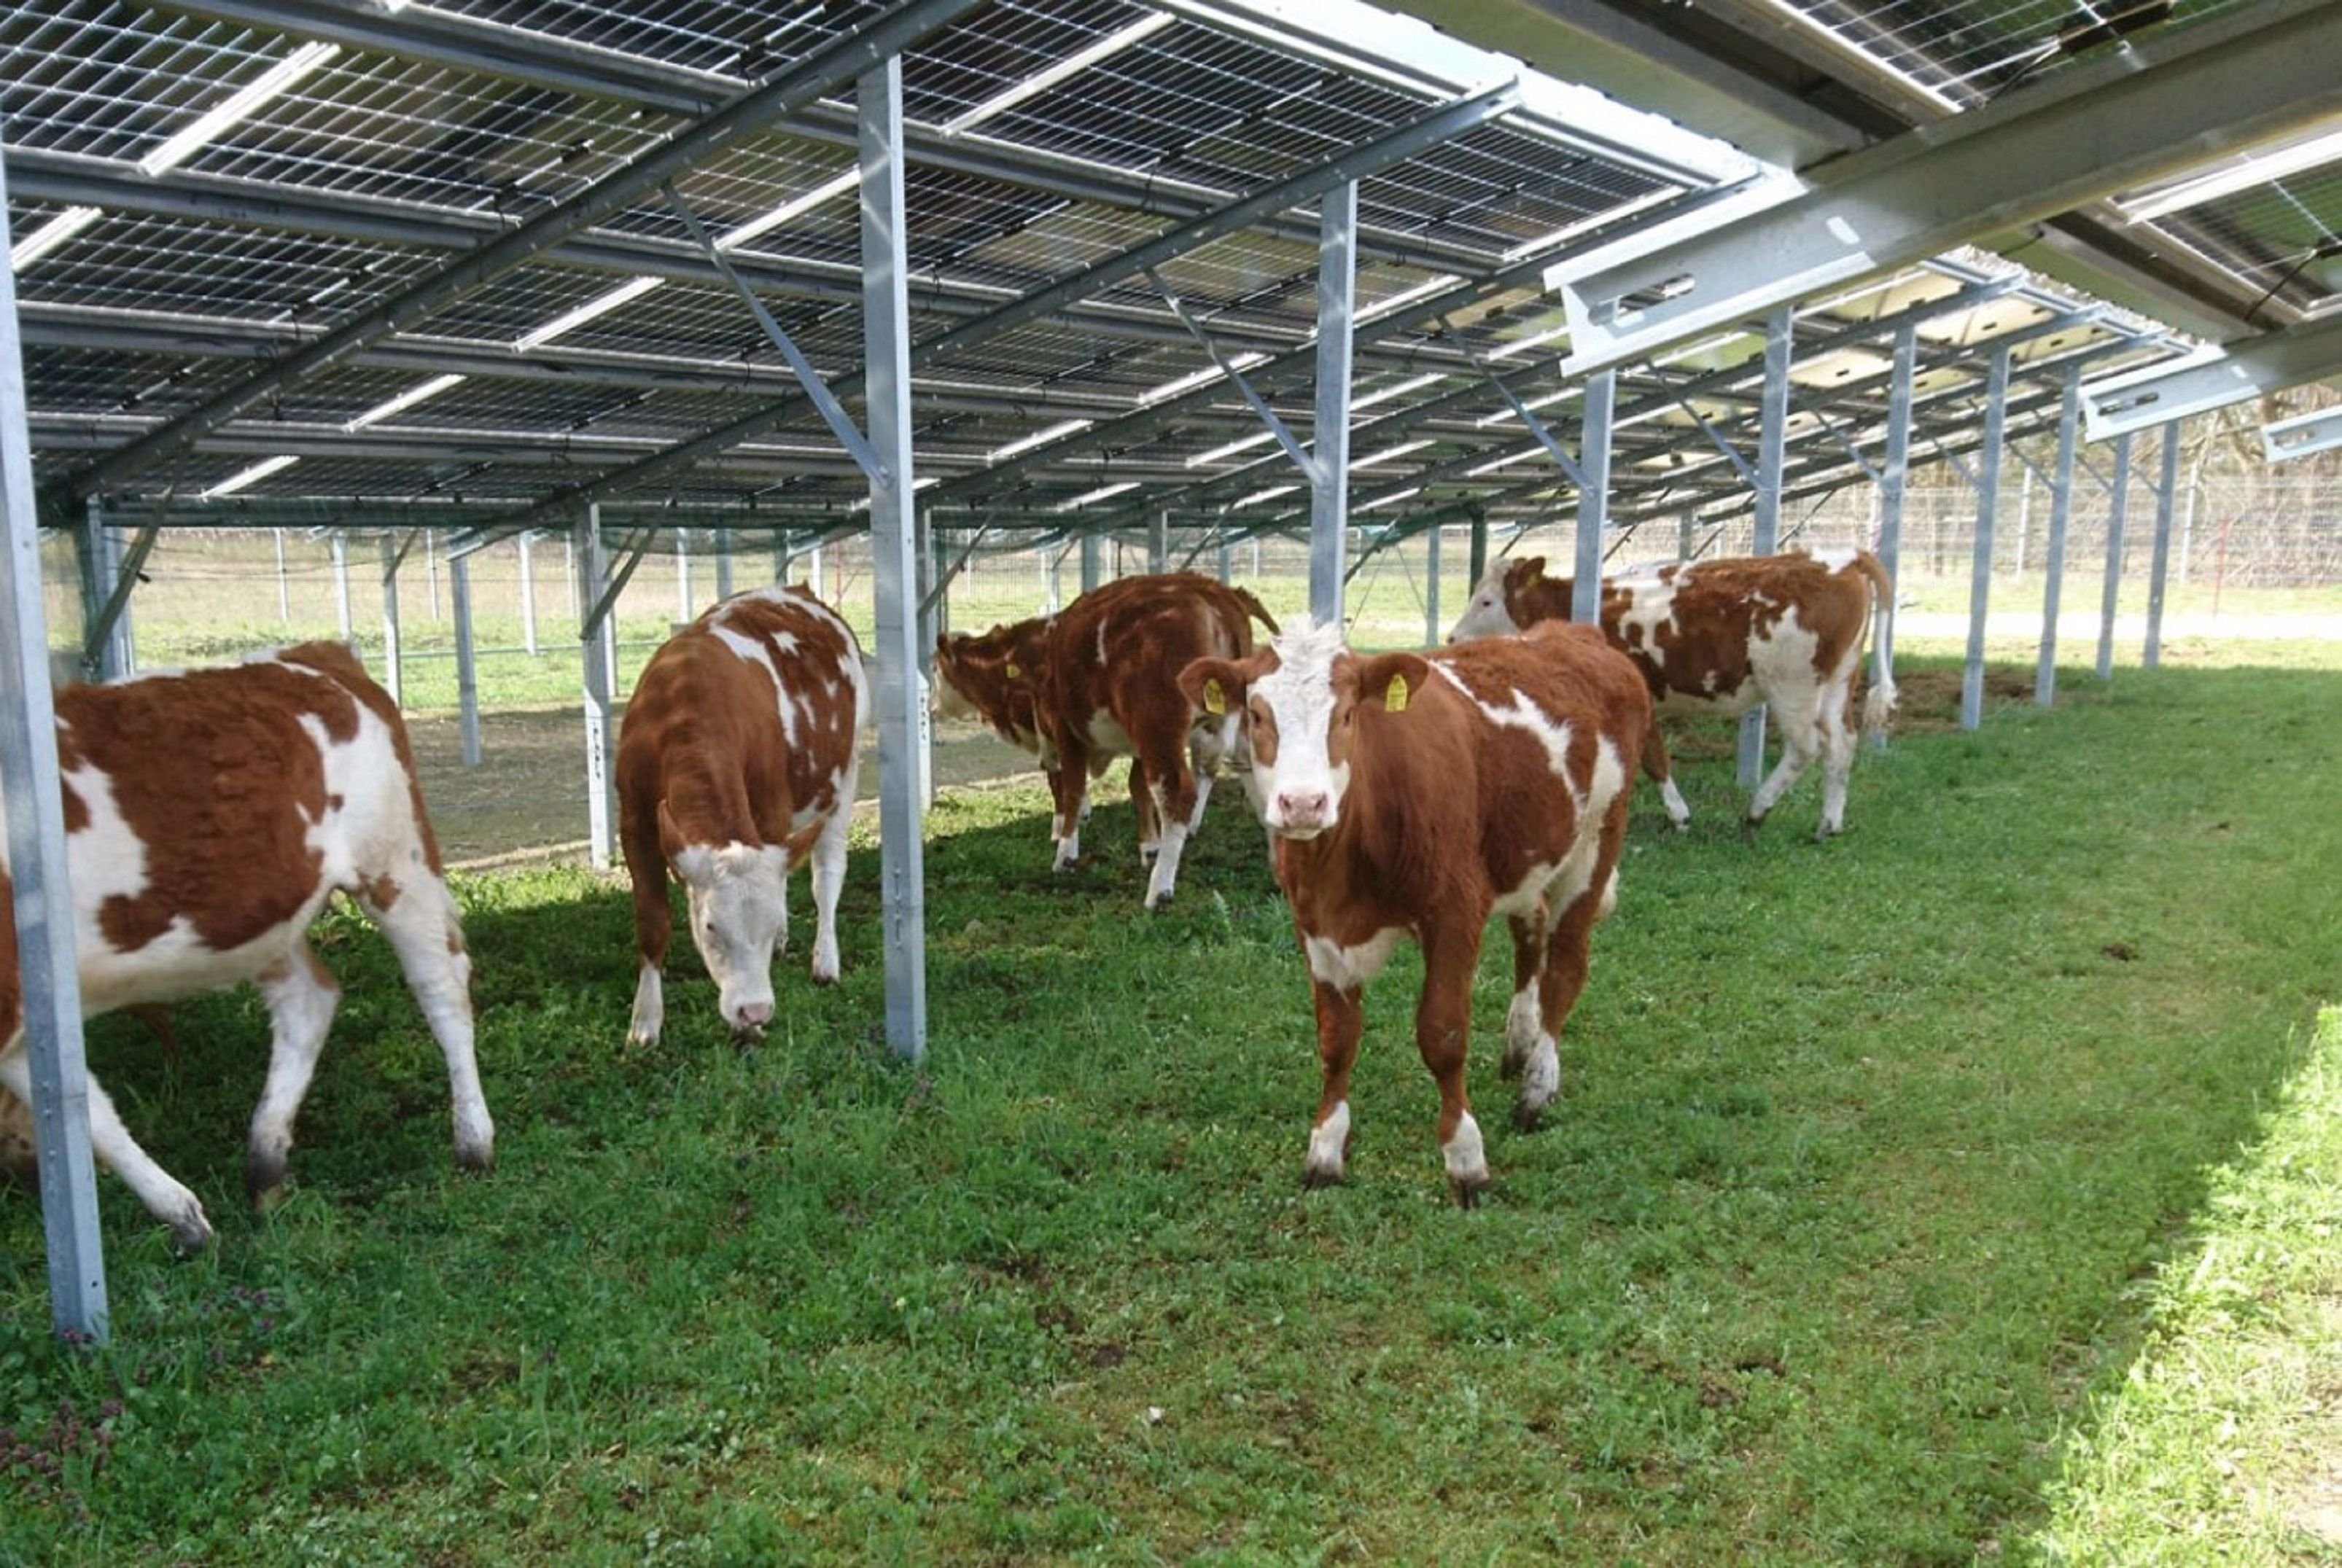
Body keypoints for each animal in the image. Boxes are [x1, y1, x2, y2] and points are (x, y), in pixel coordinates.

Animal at [0, 636, 494, 1254]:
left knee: (442, 986)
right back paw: (265, 1165)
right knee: (310, 1001)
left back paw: (473, 1141)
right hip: (261, 916)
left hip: (395, 861)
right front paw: (182, 1215)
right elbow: (88, 1111)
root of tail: (312, 652)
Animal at [618, 582, 866, 1048]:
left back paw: (825, 960)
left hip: (846, 776)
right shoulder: (635, 821)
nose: (754, 1010)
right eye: (711, 927)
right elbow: (652, 921)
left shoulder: (771, 808)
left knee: (827, 875)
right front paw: (646, 1022)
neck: (686, 707)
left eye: (767, 926)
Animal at [932, 573, 1274, 908]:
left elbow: (1070, 787)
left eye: (935, 668)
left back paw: (1160, 890)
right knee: (1252, 767)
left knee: (1178, 793)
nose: (931, 707)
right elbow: (1136, 787)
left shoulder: (1064, 729)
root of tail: (1215, 594)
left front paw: (1065, 850)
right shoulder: (1129, 743)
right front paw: (1149, 846)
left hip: (1160, 729)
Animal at [1180, 613, 1658, 1207]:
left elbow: (1443, 1035)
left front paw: (1465, 1159)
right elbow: (1336, 1039)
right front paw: (1325, 1149)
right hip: (1527, 857)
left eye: (1346, 714)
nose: (1303, 804)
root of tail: (1572, 632)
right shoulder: (1315, 927)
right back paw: (1519, 1042)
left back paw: (1538, 1084)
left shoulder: (1455, 910)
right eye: (1258, 714)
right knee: (1532, 933)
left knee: (1567, 965)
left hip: (1596, 841)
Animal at [1442, 550, 1902, 842]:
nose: (1452, 638)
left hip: (1793, 686)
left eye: (1487, 601)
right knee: (1842, 745)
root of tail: (1841, 559)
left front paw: (1677, 815)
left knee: (1806, 747)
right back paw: (1828, 823)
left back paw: (1758, 810)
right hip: (1837, 684)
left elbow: (1652, 757)